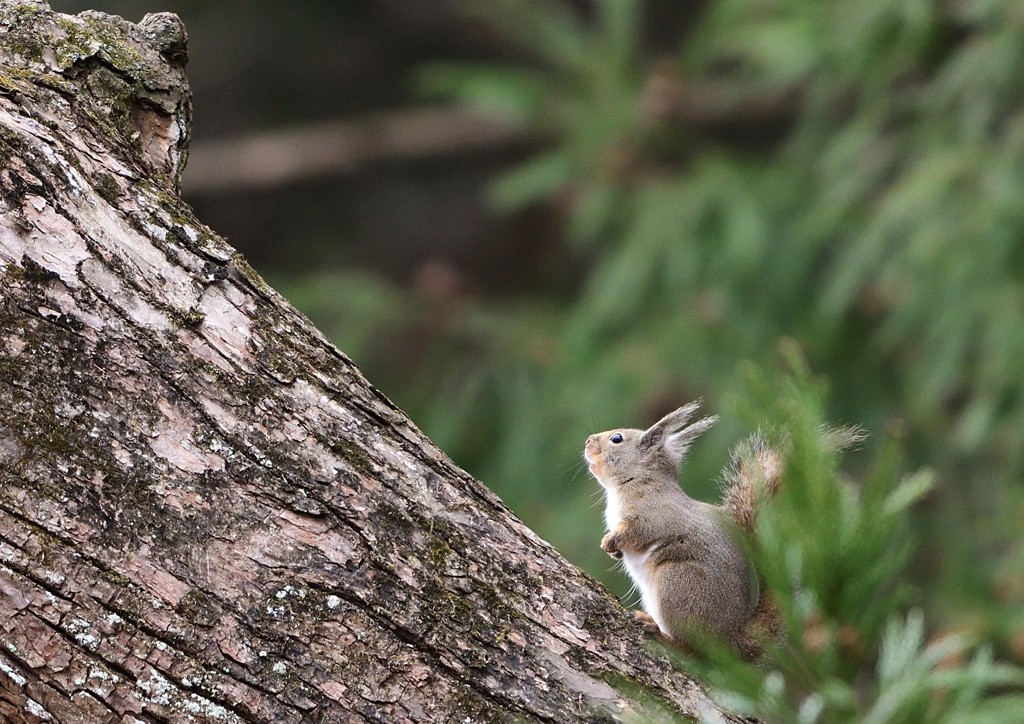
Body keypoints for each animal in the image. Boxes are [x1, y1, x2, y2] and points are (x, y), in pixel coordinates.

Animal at [585, 399, 782, 659]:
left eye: (617, 438)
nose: (587, 441)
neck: (637, 480)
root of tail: (730, 640)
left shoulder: (654, 517)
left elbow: (638, 532)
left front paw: (610, 542)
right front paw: (613, 550)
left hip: (676, 584)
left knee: (693, 650)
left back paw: (659, 632)